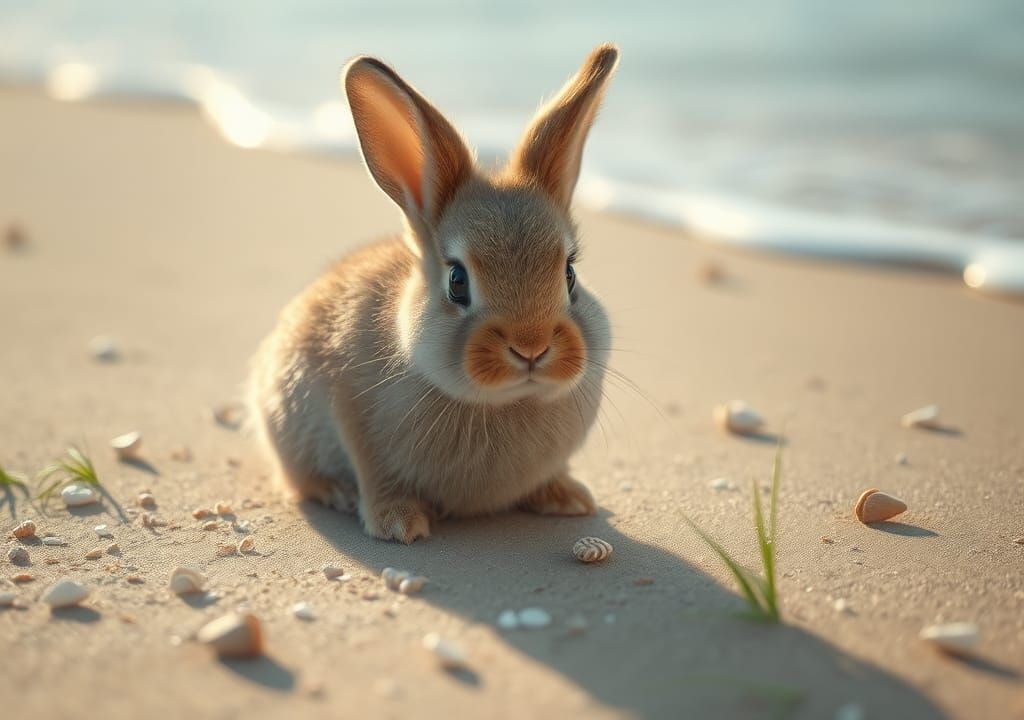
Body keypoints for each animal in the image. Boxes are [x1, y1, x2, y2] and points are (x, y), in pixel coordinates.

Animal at [248, 44, 619, 543]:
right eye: (457, 281)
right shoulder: (353, 418)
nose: (532, 347)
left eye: (570, 274)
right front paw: (399, 524)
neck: (506, 401)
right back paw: (338, 493)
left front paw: (570, 498)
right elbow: (377, 476)